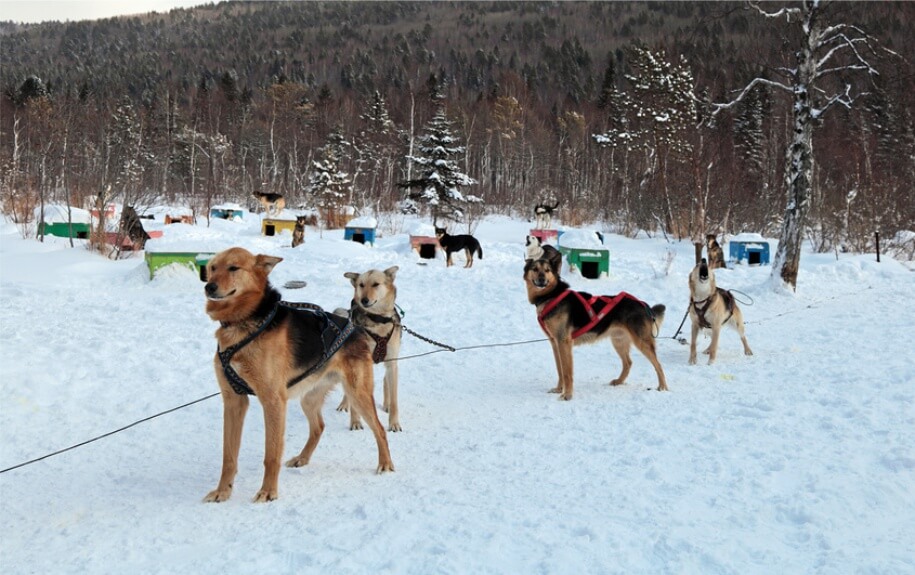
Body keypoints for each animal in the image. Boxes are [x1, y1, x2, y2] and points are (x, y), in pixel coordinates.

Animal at [202, 248, 392, 504]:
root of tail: (354, 328)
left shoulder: (273, 402)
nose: (209, 286)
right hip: (309, 398)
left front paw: (268, 492)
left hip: (358, 394)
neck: (247, 322)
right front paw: (223, 491)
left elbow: (271, 454)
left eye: (233, 268)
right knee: (318, 426)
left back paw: (386, 464)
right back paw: (303, 458)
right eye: (213, 268)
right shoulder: (234, 401)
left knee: (379, 429)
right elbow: (228, 455)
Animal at [334, 266, 402, 432]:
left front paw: (394, 423)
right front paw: (355, 422)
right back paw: (344, 404)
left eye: (376, 284)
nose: (364, 300)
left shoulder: (392, 363)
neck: (378, 321)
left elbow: (395, 399)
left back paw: (386, 404)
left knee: (385, 381)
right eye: (361, 285)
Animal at [524, 258, 668, 398]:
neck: (551, 296)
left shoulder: (564, 343)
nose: (542, 279)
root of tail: (643, 305)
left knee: (658, 365)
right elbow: (560, 370)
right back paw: (619, 381)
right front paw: (559, 389)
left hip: (642, 342)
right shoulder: (555, 343)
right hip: (618, 341)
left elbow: (566, 372)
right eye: (535, 269)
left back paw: (663, 387)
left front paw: (567, 395)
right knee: (628, 362)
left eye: (547, 270)